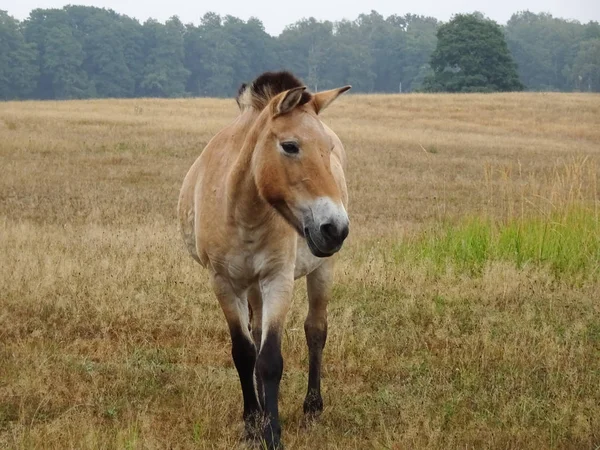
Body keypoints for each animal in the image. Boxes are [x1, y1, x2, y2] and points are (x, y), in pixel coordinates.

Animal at [176, 70, 350, 446]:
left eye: (328, 150)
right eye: (290, 146)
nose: (336, 228)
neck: (243, 210)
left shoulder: (277, 280)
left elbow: (270, 359)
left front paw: (272, 433)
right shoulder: (224, 282)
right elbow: (244, 353)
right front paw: (252, 423)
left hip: (321, 269)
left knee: (316, 331)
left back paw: (312, 409)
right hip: (250, 285)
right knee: (255, 336)